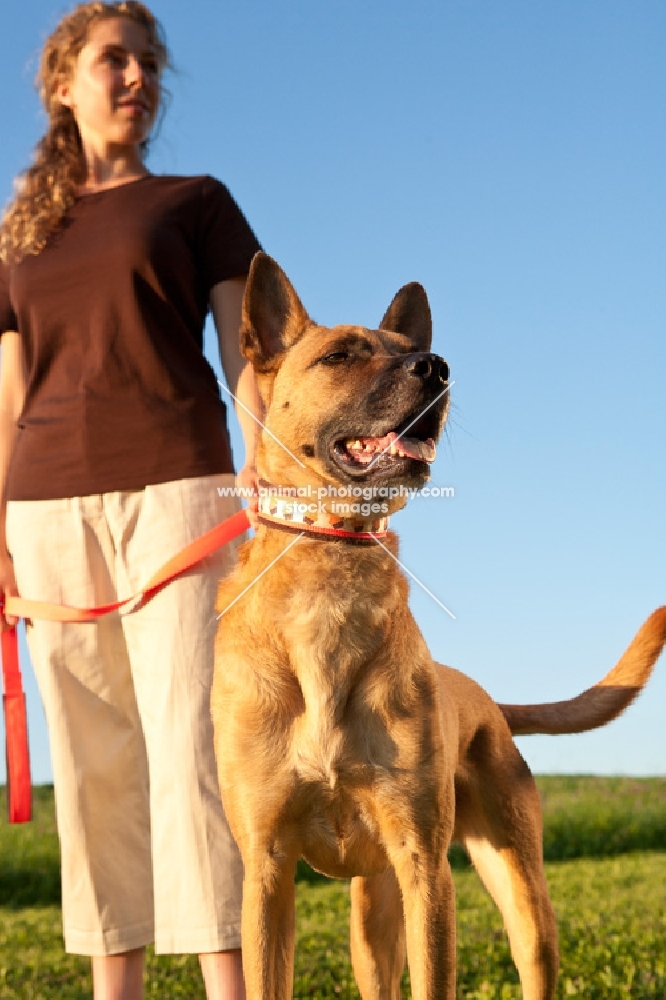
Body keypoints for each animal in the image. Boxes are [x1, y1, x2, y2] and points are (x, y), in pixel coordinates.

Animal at [214, 256, 664, 1000]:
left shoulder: (425, 867)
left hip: (516, 894)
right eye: (339, 356)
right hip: (371, 919)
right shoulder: (268, 872)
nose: (438, 366)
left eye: (408, 349)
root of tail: (485, 698)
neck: (330, 578)